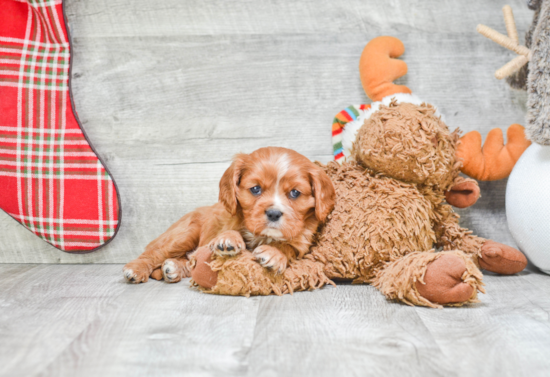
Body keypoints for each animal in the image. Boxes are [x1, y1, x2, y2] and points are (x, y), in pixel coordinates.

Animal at [123, 146, 336, 282]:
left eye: (294, 193)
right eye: (256, 189)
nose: (274, 214)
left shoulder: (302, 243)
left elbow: (288, 248)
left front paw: (275, 253)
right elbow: (229, 231)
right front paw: (228, 240)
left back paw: (173, 269)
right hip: (183, 234)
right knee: (155, 253)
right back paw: (136, 269)